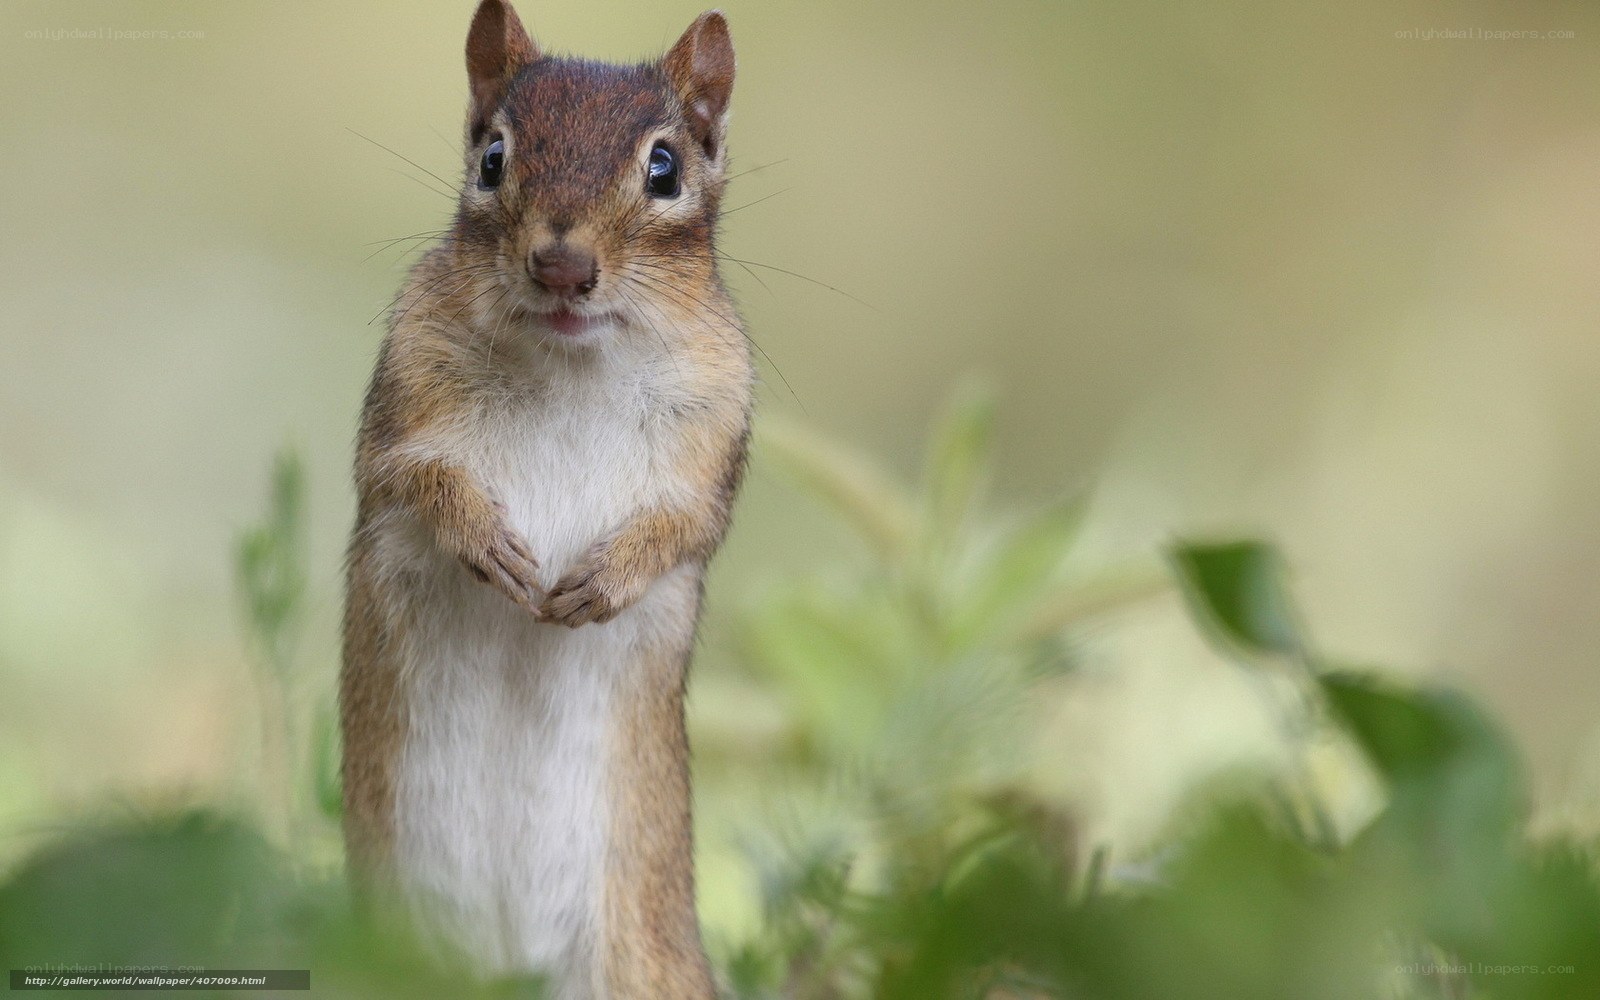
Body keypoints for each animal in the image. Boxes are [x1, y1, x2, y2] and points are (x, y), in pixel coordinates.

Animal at [339, 3, 751, 997]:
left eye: (664, 168)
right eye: (493, 156)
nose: (563, 267)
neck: (572, 364)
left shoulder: (717, 434)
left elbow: (689, 527)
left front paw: (605, 581)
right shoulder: (399, 408)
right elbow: (410, 478)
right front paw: (484, 541)